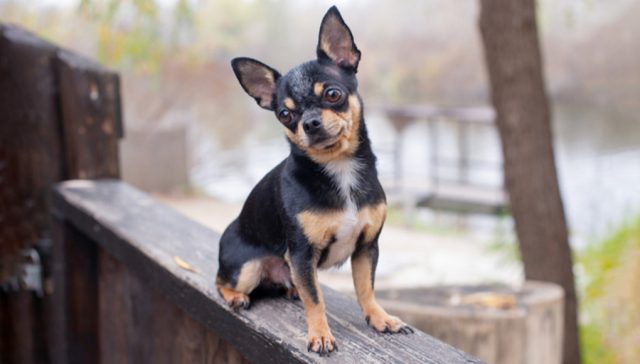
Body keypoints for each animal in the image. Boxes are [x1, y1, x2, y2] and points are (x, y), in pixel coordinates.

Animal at [218, 5, 412, 356]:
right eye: (284, 114)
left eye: (333, 95)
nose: (309, 122)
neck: (339, 168)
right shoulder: (301, 255)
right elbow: (315, 299)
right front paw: (320, 335)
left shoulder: (366, 248)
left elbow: (366, 288)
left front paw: (380, 318)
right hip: (247, 269)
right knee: (220, 281)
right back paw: (237, 297)